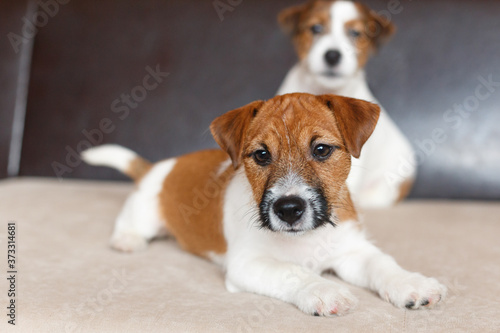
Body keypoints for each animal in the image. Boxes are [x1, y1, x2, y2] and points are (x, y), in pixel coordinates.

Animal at [82, 92, 446, 314]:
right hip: (144, 212)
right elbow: (293, 271)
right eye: (261, 155)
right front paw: (324, 290)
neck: (305, 239)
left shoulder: (352, 251)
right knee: (129, 220)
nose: (289, 209)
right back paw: (127, 240)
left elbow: (382, 264)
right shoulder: (248, 264)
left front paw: (411, 284)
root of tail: (157, 167)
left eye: (321, 150)